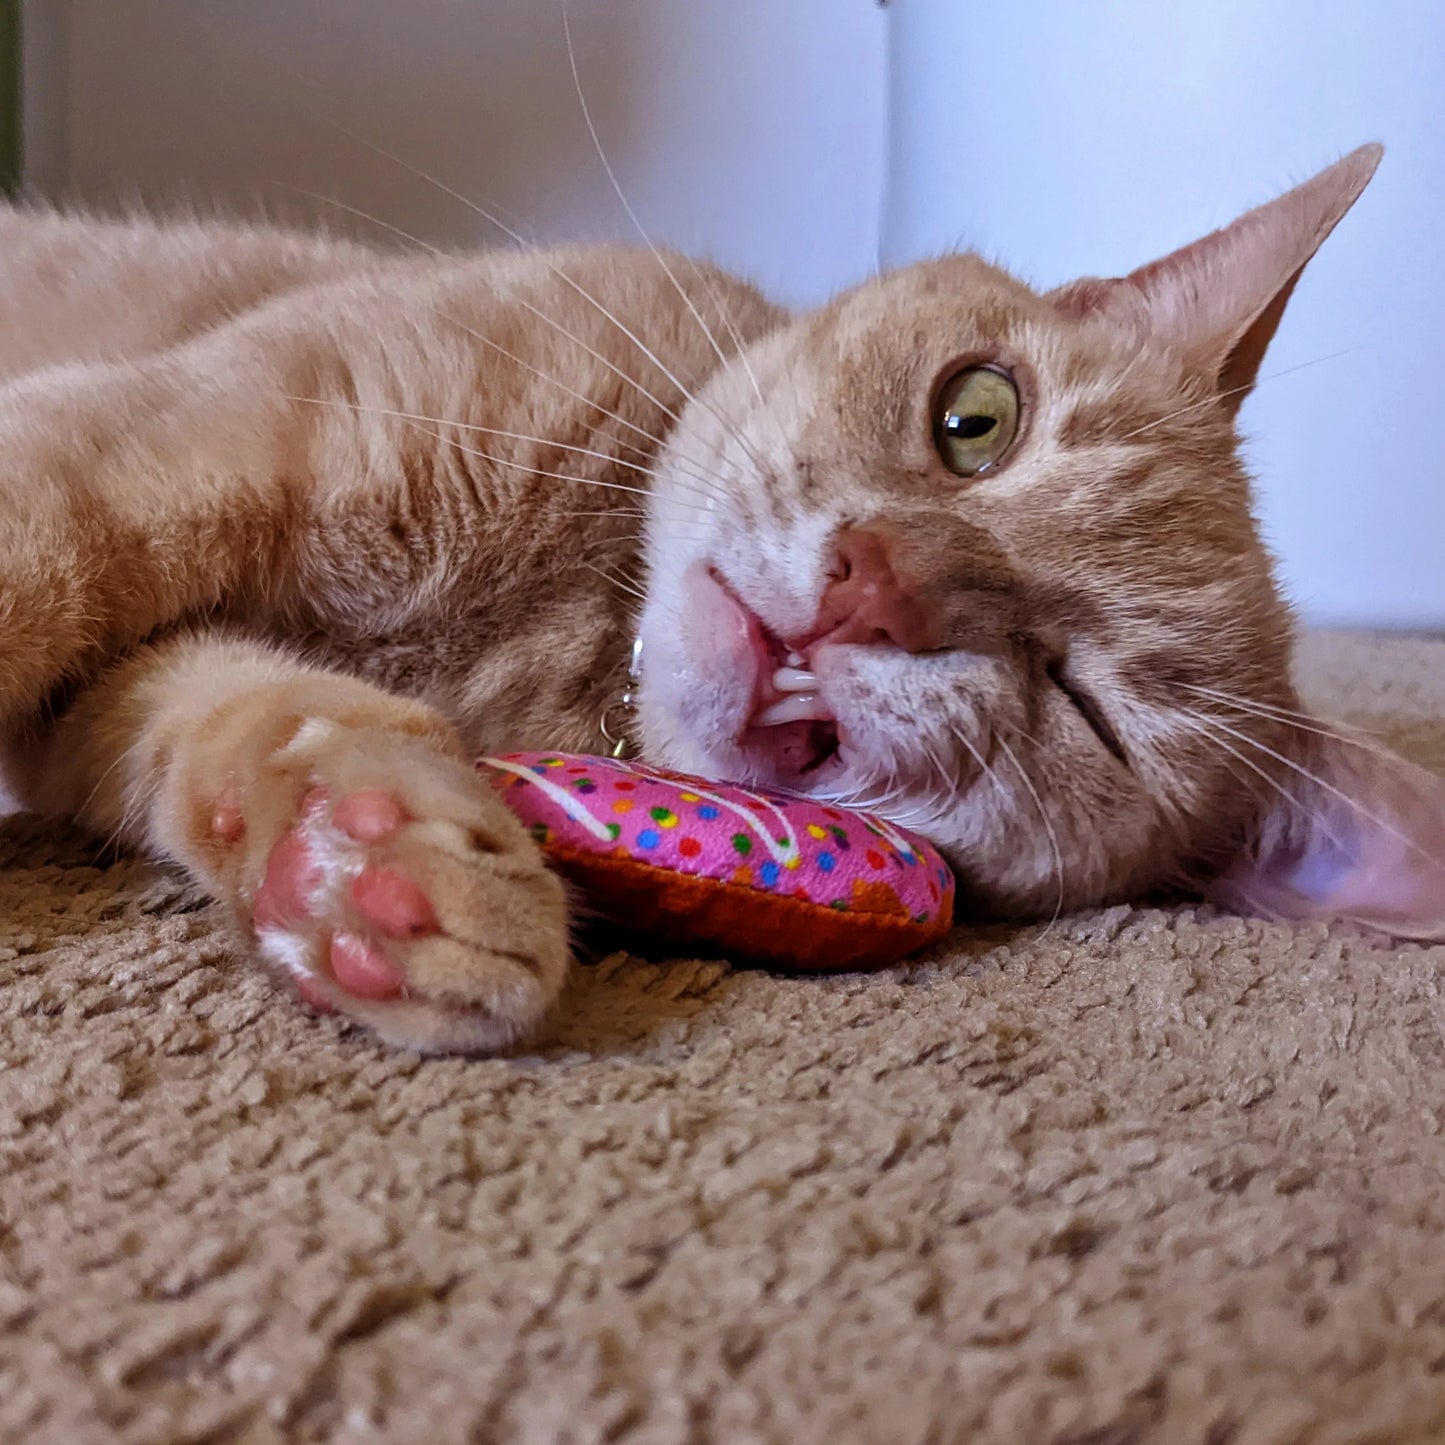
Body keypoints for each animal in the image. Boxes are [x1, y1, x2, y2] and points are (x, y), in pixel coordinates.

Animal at [2, 143, 1445, 1051]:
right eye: (976, 418)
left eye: (1083, 707)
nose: (871, 588)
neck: (559, 630)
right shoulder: (165, 447)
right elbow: (44, 559)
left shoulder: (120, 689)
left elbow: (244, 716)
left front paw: (364, 864)